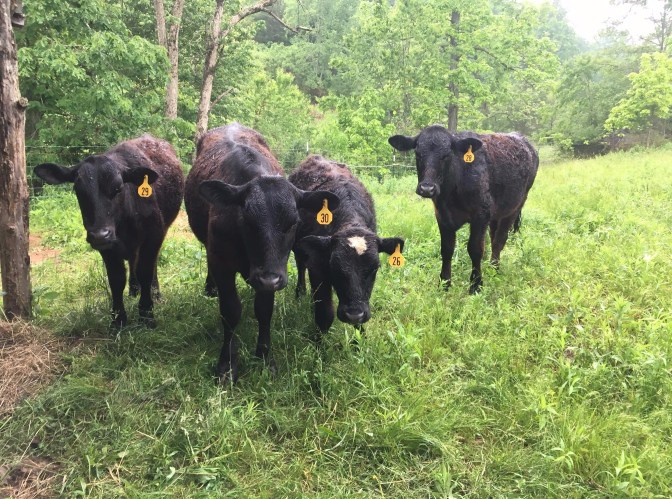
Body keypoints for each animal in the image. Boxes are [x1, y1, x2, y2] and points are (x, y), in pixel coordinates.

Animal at [34, 135, 184, 327]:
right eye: (78, 190)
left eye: (118, 188)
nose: (100, 235)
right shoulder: (107, 247)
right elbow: (116, 279)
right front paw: (118, 319)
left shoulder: (153, 235)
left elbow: (145, 271)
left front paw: (146, 314)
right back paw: (134, 289)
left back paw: (154, 292)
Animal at [184, 124, 340, 383]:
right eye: (246, 221)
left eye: (293, 222)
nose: (268, 279)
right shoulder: (221, 261)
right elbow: (230, 311)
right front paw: (227, 365)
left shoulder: (272, 272)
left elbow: (264, 311)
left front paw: (265, 358)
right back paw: (210, 287)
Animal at [289, 155, 404, 333]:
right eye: (334, 267)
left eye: (374, 268)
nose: (354, 315)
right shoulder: (317, 267)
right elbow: (325, 314)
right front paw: (318, 338)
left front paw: (360, 338)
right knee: (301, 266)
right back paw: (300, 293)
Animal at [389, 125, 538, 294]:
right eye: (418, 153)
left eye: (447, 155)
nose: (427, 188)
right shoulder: (442, 216)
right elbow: (446, 249)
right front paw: (444, 283)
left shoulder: (481, 215)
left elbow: (475, 249)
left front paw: (476, 285)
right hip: (497, 213)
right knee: (494, 236)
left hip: (515, 207)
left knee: (499, 240)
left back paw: (495, 269)